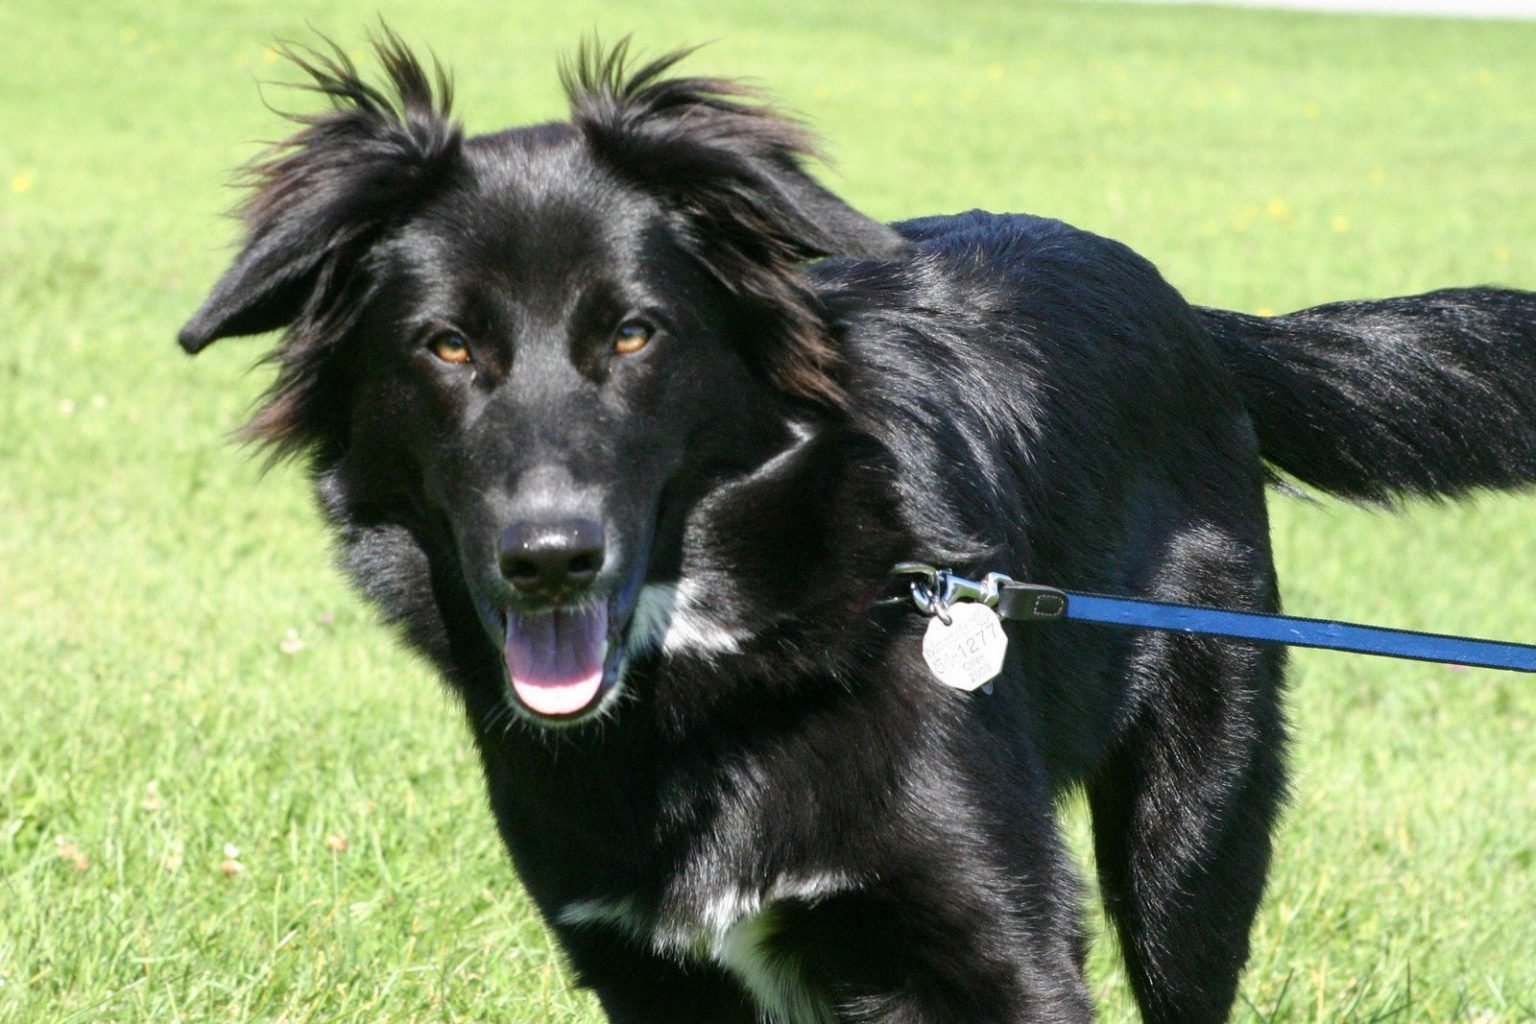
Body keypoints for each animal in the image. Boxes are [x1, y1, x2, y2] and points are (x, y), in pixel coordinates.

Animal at [176, 36, 1536, 1019]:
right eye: (448, 346)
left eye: (635, 332)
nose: (550, 559)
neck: (715, 672)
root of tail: (1193, 316)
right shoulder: (647, 970)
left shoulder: (995, 943)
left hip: (1192, 827)